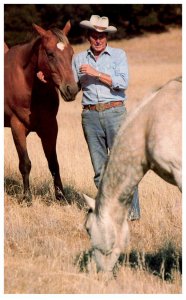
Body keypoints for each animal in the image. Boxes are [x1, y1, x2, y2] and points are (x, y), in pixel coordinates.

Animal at [4, 21, 78, 204]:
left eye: (71, 53)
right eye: (50, 54)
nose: (71, 89)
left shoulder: (50, 127)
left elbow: (54, 163)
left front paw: (61, 197)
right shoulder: (17, 126)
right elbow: (25, 163)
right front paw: (26, 197)